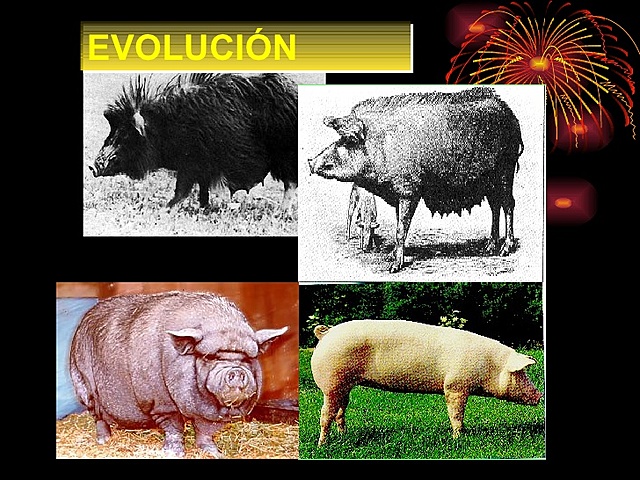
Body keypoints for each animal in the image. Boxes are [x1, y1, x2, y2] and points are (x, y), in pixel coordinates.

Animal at [69, 291, 288, 458]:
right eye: (208, 357)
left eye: (248, 359)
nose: (235, 370)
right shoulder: (160, 402)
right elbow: (174, 426)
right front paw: (173, 453)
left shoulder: (209, 415)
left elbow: (205, 431)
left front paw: (215, 453)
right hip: (82, 380)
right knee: (97, 415)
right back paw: (104, 440)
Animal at [310, 320, 542, 445]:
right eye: (521, 373)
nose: (540, 395)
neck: (489, 366)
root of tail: (327, 333)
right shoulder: (455, 385)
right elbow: (456, 414)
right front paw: (458, 438)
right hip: (331, 382)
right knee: (325, 414)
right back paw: (322, 445)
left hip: (344, 385)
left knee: (340, 411)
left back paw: (343, 436)